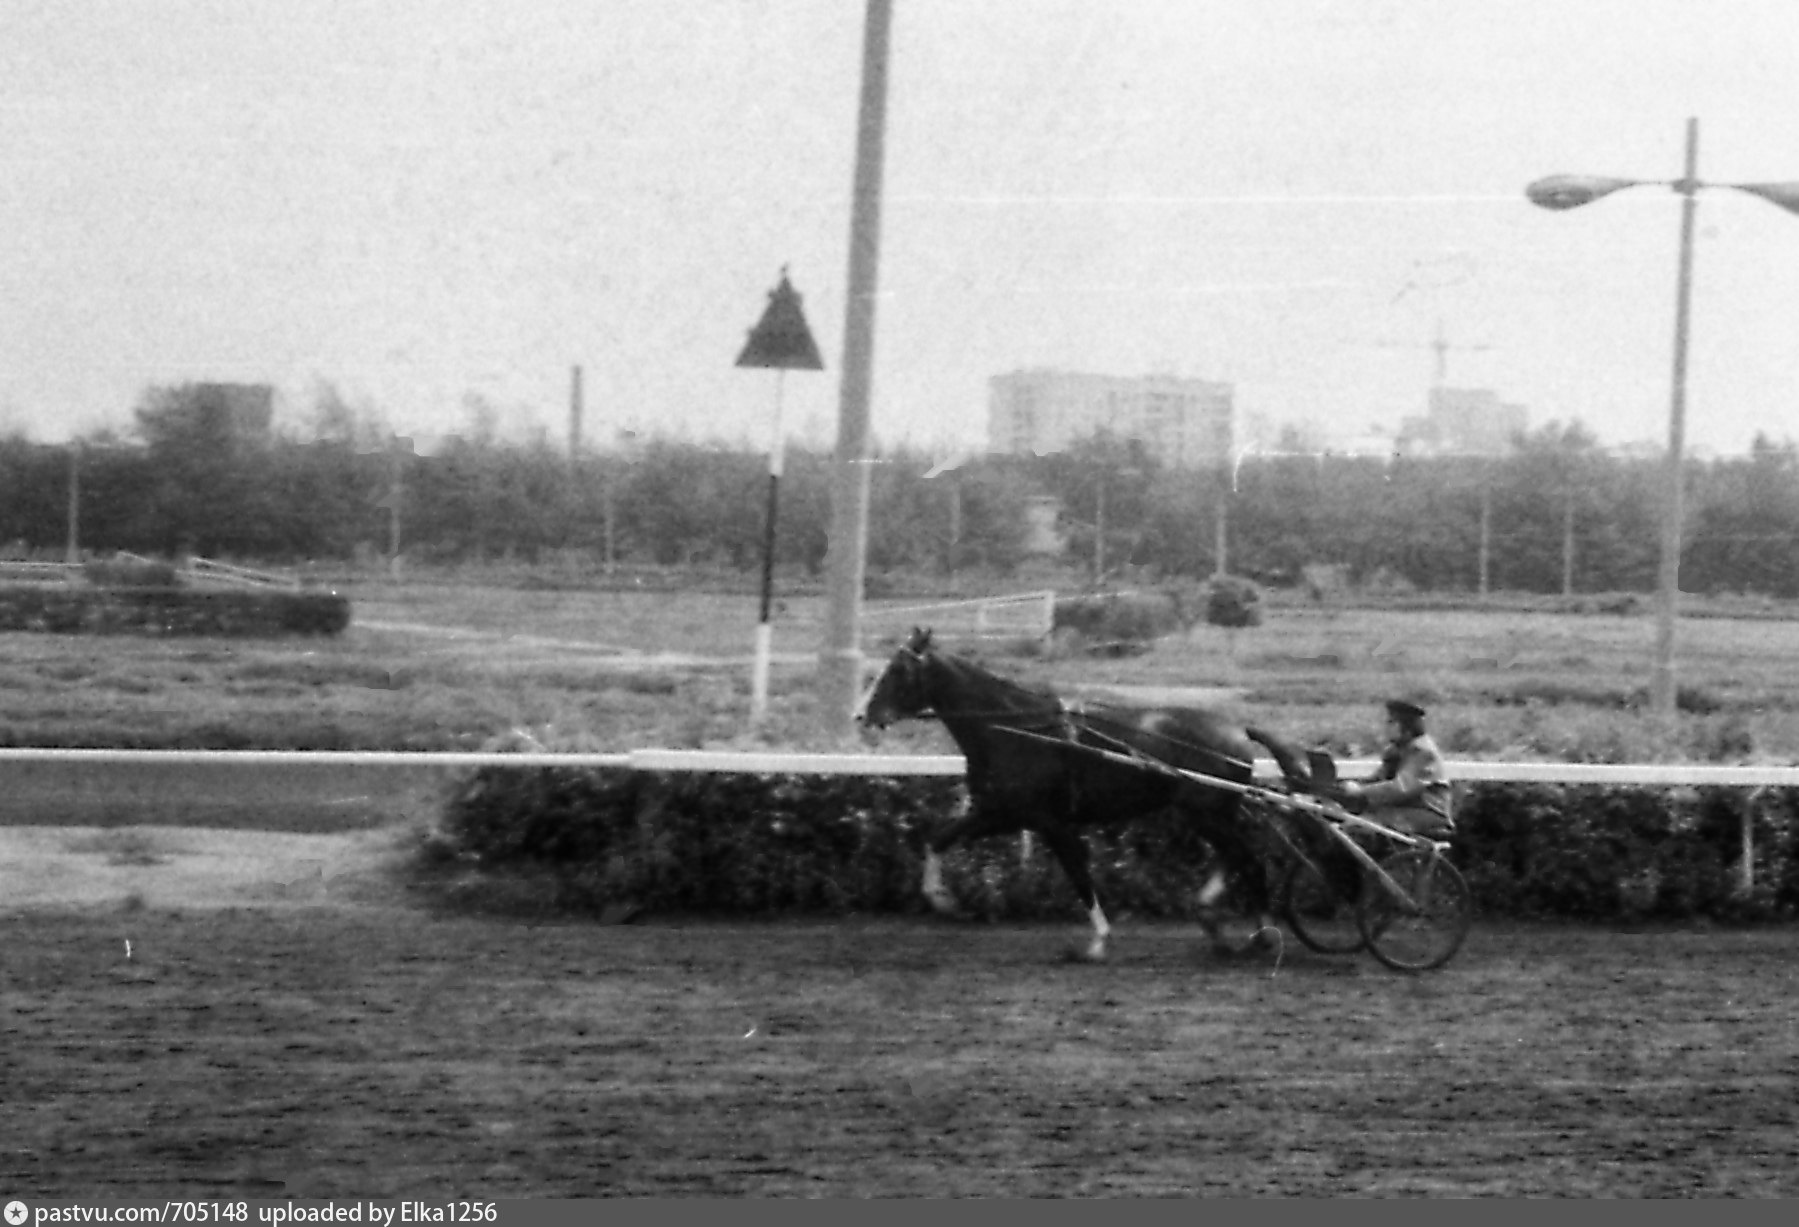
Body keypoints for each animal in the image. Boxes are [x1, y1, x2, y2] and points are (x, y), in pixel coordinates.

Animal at [855, 627, 1314, 960]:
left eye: (896, 671)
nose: (861, 716)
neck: (1018, 730)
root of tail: (1238, 728)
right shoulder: (1000, 812)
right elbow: (936, 840)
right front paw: (942, 899)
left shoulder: (1051, 822)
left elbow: (1078, 873)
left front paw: (1097, 941)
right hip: (1203, 812)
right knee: (1234, 856)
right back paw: (1212, 915)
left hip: (1208, 811)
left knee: (1250, 862)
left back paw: (1264, 934)